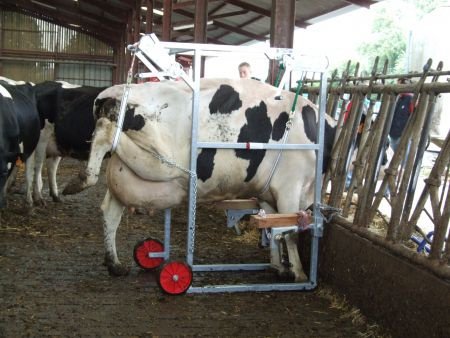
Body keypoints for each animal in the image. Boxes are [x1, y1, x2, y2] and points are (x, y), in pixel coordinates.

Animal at [65, 78, 336, 280]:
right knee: (106, 131)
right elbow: (290, 232)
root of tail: (112, 90)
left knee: (110, 212)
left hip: (127, 174)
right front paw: (299, 273)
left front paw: (278, 266)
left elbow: (273, 229)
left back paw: (115, 264)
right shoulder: (290, 187)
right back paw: (78, 182)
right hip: (161, 162)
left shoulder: (267, 194)